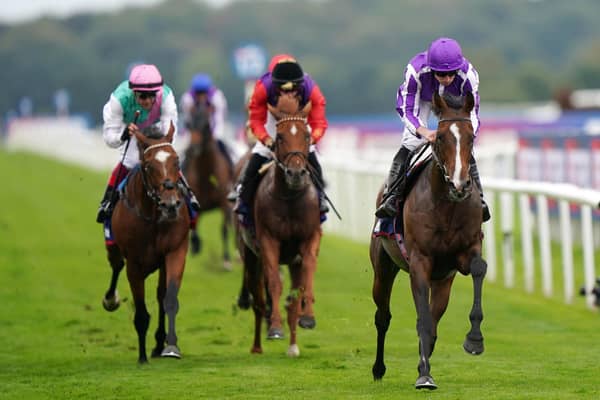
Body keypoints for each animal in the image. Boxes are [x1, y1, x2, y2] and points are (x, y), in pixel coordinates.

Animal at [101, 123, 190, 364]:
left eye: (177, 160)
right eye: (149, 165)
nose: (171, 204)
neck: (153, 216)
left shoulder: (175, 250)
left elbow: (169, 299)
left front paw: (170, 347)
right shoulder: (134, 263)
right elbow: (140, 312)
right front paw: (141, 357)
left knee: (160, 294)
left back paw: (159, 343)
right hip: (114, 247)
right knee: (116, 266)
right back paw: (110, 299)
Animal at [182, 101, 233, 268]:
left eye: (206, 124)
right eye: (188, 124)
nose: (193, 148)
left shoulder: (224, 200)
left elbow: (224, 228)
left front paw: (226, 259)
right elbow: (195, 229)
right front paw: (196, 245)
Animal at [237, 96, 326, 356]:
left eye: (306, 136)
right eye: (280, 137)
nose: (296, 173)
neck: (290, 198)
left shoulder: (309, 238)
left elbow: (307, 273)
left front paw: (308, 318)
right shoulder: (268, 241)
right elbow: (274, 284)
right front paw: (275, 327)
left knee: (292, 297)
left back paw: (293, 345)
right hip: (250, 254)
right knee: (258, 298)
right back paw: (258, 344)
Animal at [370, 92, 488, 390]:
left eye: (471, 138)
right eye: (441, 137)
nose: (460, 185)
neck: (446, 204)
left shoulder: (462, 255)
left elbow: (478, 268)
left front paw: (474, 340)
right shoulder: (420, 262)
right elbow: (422, 321)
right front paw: (424, 375)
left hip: (443, 281)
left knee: (433, 318)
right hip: (383, 267)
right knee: (383, 317)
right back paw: (378, 368)